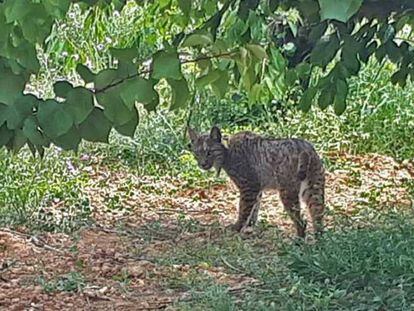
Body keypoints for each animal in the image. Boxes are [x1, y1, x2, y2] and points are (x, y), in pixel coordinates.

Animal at [188, 127, 326, 239]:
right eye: (197, 153)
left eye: (209, 152)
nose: (202, 164)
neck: (227, 152)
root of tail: (305, 147)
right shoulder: (257, 189)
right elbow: (254, 209)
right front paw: (250, 226)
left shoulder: (249, 186)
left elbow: (244, 209)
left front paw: (237, 228)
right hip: (314, 186)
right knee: (318, 216)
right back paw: (320, 242)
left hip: (287, 189)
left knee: (302, 221)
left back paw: (299, 242)